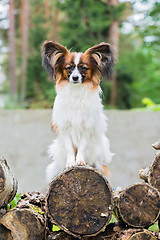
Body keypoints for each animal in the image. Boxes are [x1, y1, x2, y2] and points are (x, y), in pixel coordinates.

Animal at [42, 41, 114, 184]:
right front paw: (71, 163)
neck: (76, 92)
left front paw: (80, 161)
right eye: (69, 68)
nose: (75, 77)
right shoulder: (65, 128)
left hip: (102, 144)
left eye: (84, 68)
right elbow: (70, 148)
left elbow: (82, 146)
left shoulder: (86, 127)